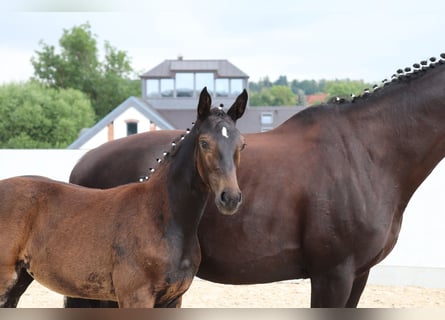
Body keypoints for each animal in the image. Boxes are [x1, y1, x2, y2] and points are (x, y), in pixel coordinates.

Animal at [0, 87, 246, 308]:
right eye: (204, 143)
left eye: (241, 145)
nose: (230, 198)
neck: (162, 217)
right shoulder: (135, 296)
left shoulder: (173, 299)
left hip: (18, 281)